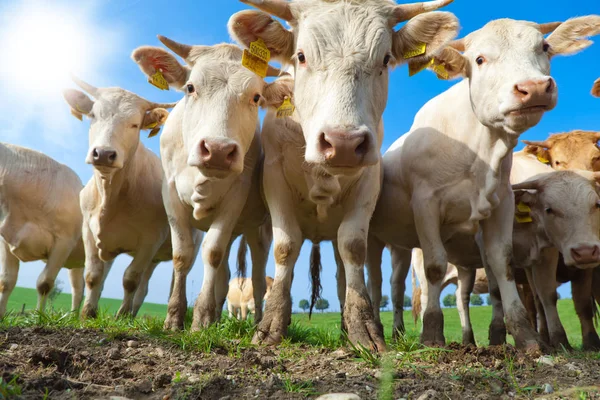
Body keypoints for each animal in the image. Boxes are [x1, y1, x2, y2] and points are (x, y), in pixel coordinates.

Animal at [0, 143, 88, 316]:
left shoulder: (64, 242)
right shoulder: (6, 240)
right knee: (78, 288)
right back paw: (73, 317)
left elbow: (44, 283)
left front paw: (39, 317)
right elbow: (6, 281)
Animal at [63, 78, 176, 318]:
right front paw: (88, 313)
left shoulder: (151, 239)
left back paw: (132, 315)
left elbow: (131, 279)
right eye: (93, 115)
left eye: (135, 124)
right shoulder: (89, 231)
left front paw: (122, 316)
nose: (104, 153)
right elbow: (93, 276)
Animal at [132, 38, 290, 332]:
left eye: (256, 97)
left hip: (260, 229)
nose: (218, 150)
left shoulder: (235, 198)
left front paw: (201, 318)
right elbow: (183, 256)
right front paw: (175, 317)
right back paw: (217, 316)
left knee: (258, 275)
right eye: (190, 87)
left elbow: (212, 253)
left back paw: (256, 322)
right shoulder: (170, 195)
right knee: (224, 273)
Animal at [230, 0, 460, 350]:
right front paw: (270, 326)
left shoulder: (368, 182)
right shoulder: (274, 179)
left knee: (341, 270)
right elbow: (285, 247)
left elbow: (352, 246)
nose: (344, 144)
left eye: (385, 59)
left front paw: (362, 328)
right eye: (301, 56)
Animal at [366, 16, 600, 350]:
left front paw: (525, 337)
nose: (534, 88)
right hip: (378, 238)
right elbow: (435, 268)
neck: (477, 147)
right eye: (479, 59)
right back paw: (383, 329)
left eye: (544, 47)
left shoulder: (502, 205)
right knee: (382, 281)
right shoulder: (426, 205)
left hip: (405, 245)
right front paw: (432, 334)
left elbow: (502, 266)